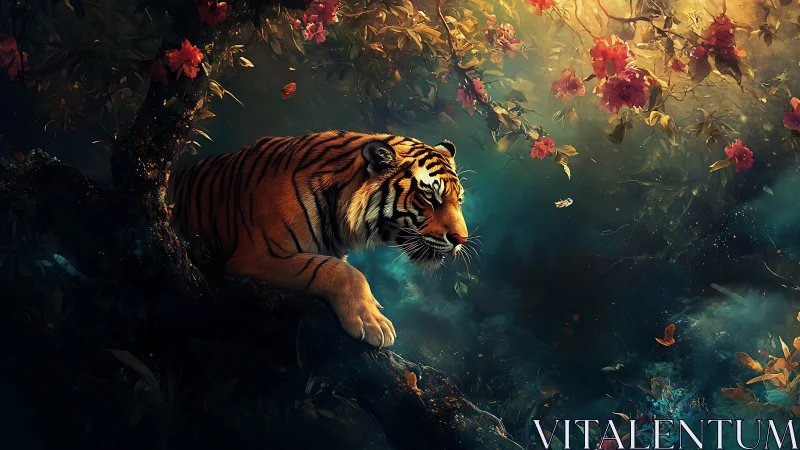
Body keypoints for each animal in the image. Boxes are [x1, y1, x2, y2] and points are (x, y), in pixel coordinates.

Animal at [167, 131, 470, 348]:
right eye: (430, 197)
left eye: (459, 200)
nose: (461, 239)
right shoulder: (256, 255)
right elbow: (341, 271)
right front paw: (373, 321)